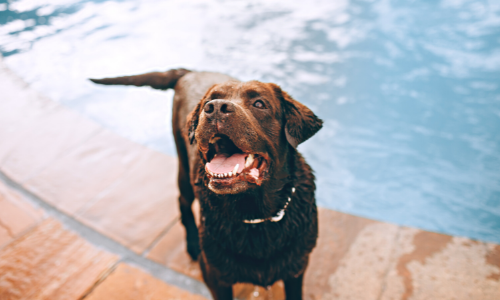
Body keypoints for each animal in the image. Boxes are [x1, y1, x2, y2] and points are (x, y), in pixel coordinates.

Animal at [90, 69, 322, 298]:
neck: (254, 216)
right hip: (183, 167)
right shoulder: (214, 274)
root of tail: (191, 71)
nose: (215, 108)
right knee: (182, 201)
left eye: (259, 103)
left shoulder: (297, 268)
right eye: (208, 103)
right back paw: (193, 244)